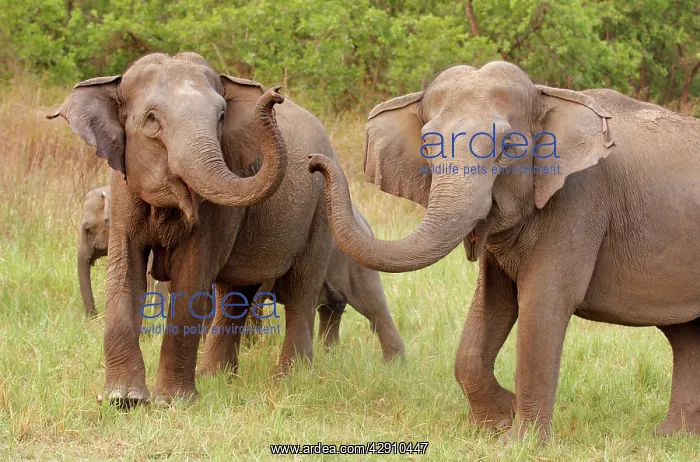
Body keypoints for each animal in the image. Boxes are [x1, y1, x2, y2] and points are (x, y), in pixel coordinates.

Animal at [199, 204, 405, 375]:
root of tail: (364, 223)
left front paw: (250, 347)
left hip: (356, 267)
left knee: (374, 308)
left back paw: (393, 366)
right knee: (333, 309)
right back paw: (331, 354)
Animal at [309, 61, 700, 440]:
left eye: (509, 147)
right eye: (427, 146)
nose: (313, 161)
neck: (547, 94)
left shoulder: (580, 200)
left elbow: (542, 303)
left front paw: (520, 441)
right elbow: (492, 303)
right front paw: (495, 423)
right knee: (684, 335)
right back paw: (669, 438)